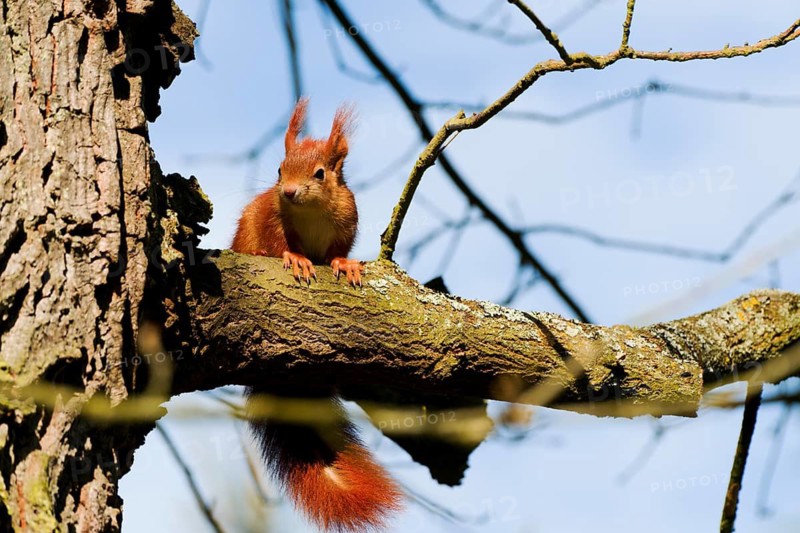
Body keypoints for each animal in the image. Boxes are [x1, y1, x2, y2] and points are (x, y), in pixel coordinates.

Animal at [231, 98, 403, 532]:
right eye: (279, 170)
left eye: (320, 173)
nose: (289, 191)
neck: (311, 211)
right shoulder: (272, 218)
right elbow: (280, 242)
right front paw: (294, 257)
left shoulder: (347, 221)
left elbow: (339, 250)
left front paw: (345, 264)